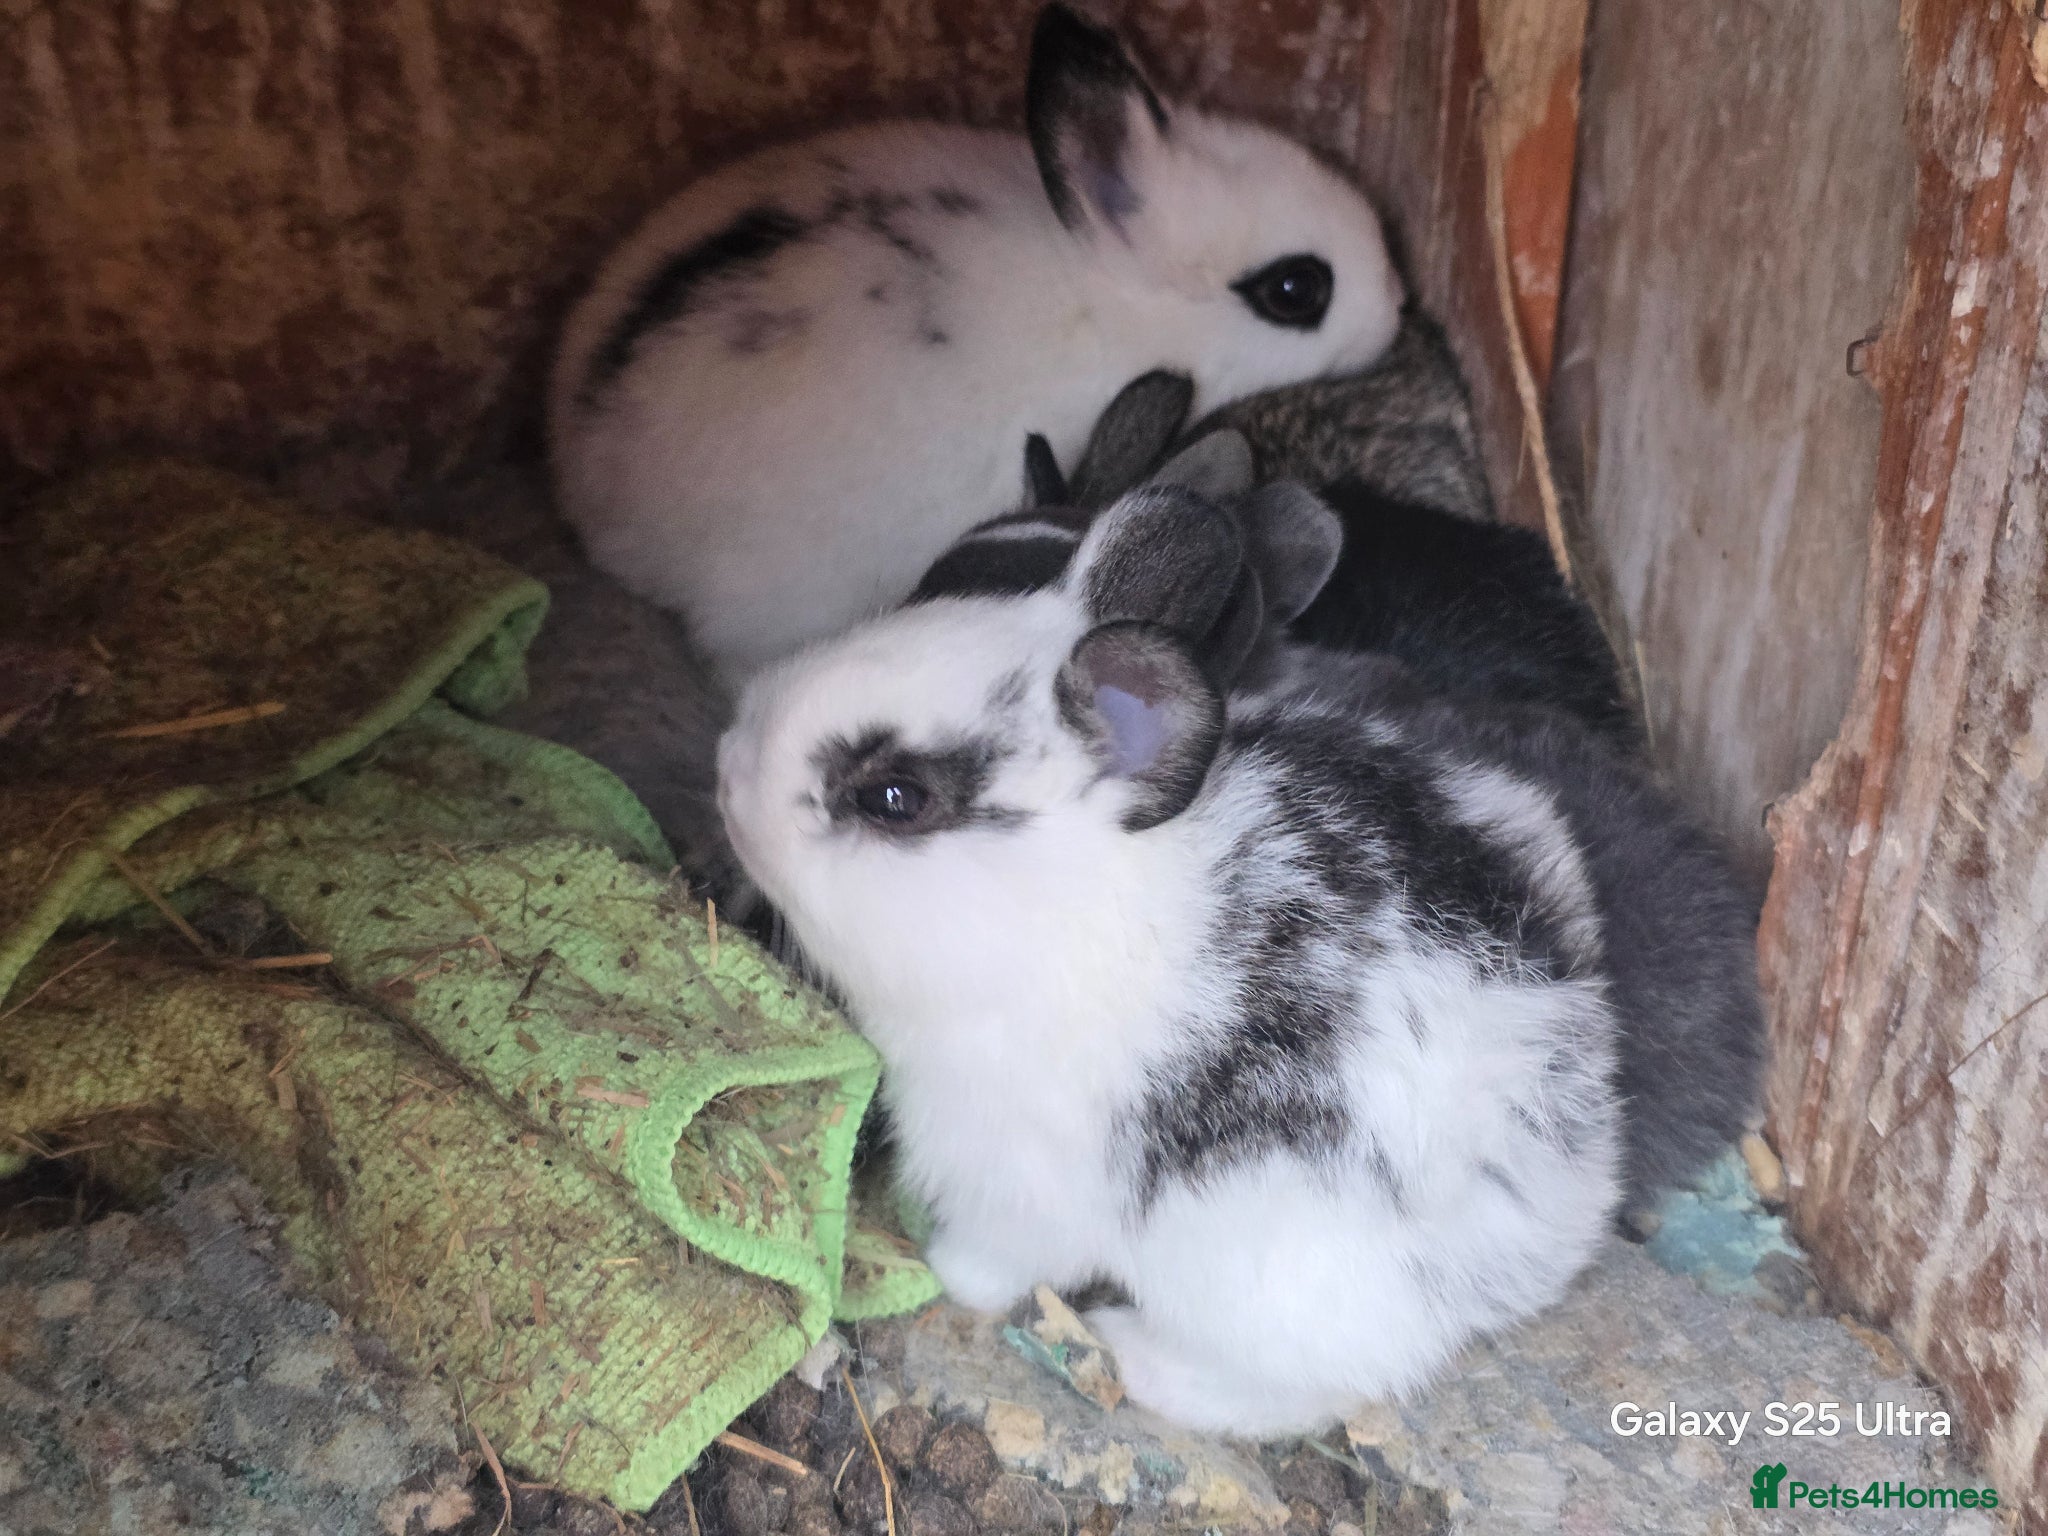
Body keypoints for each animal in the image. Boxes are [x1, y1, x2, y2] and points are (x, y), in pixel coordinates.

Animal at [716, 483, 1761, 1435]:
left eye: (893, 797)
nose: (727, 765)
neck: (1070, 909)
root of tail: (1563, 1210)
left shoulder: (1016, 1180)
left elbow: (995, 1262)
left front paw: (940, 1274)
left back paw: (1134, 1356)